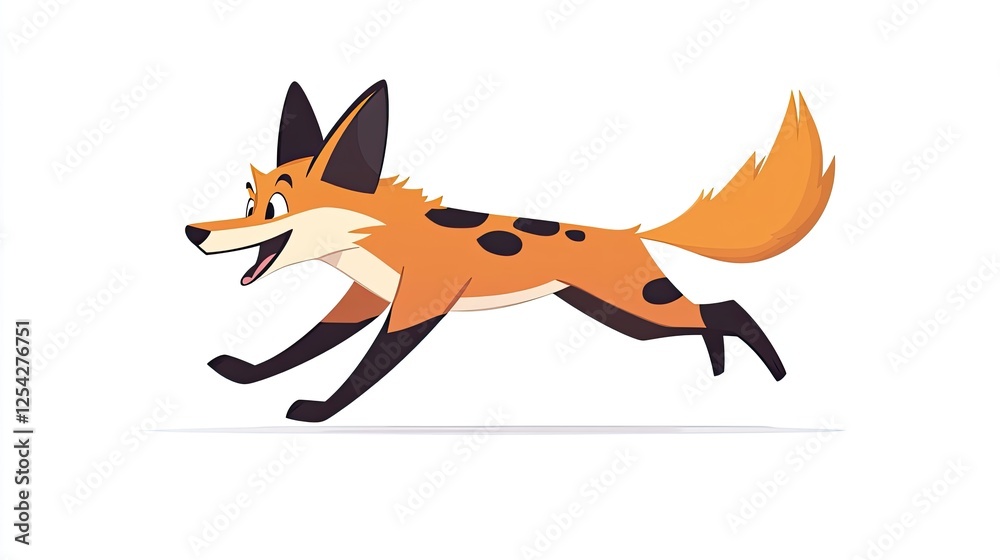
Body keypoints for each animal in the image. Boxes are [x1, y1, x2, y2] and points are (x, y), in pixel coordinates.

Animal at [186, 80, 835, 423]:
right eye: (249, 201)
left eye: (275, 209)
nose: (194, 233)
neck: (378, 237)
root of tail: (636, 232)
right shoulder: (364, 300)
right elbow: (295, 350)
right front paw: (246, 374)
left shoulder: (418, 303)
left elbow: (359, 373)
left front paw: (320, 410)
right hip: (623, 316)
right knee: (709, 317)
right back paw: (719, 368)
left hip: (640, 306)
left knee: (727, 310)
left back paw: (776, 376)